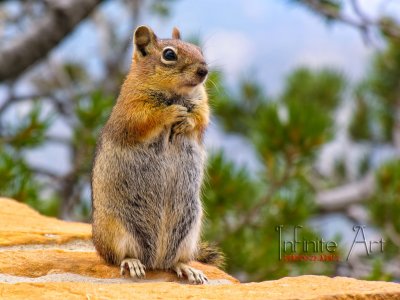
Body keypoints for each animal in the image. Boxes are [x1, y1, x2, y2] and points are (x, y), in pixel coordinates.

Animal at [91, 25, 223, 284]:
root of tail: (155, 260)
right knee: (120, 256)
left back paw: (188, 268)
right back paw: (132, 263)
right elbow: (146, 119)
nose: (204, 70)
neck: (176, 94)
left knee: (175, 261)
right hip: (115, 230)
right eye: (169, 55)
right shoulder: (131, 108)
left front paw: (187, 121)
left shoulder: (202, 103)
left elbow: (201, 117)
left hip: (189, 231)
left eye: (199, 49)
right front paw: (172, 113)